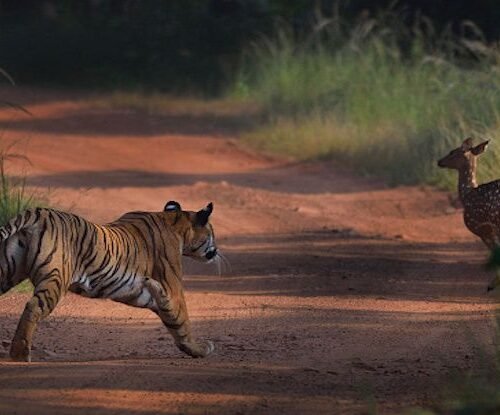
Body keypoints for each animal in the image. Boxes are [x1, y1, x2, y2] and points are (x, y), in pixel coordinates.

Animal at [0, 201, 219, 360]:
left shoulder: (137, 291)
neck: (175, 222)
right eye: (212, 234)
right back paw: (20, 353)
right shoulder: (173, 288)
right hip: (55, 278)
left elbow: (171, 315)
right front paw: (201, 348)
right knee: (33, 307)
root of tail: (38, 213)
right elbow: (182, 321)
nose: (216, 251)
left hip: (7, 270)